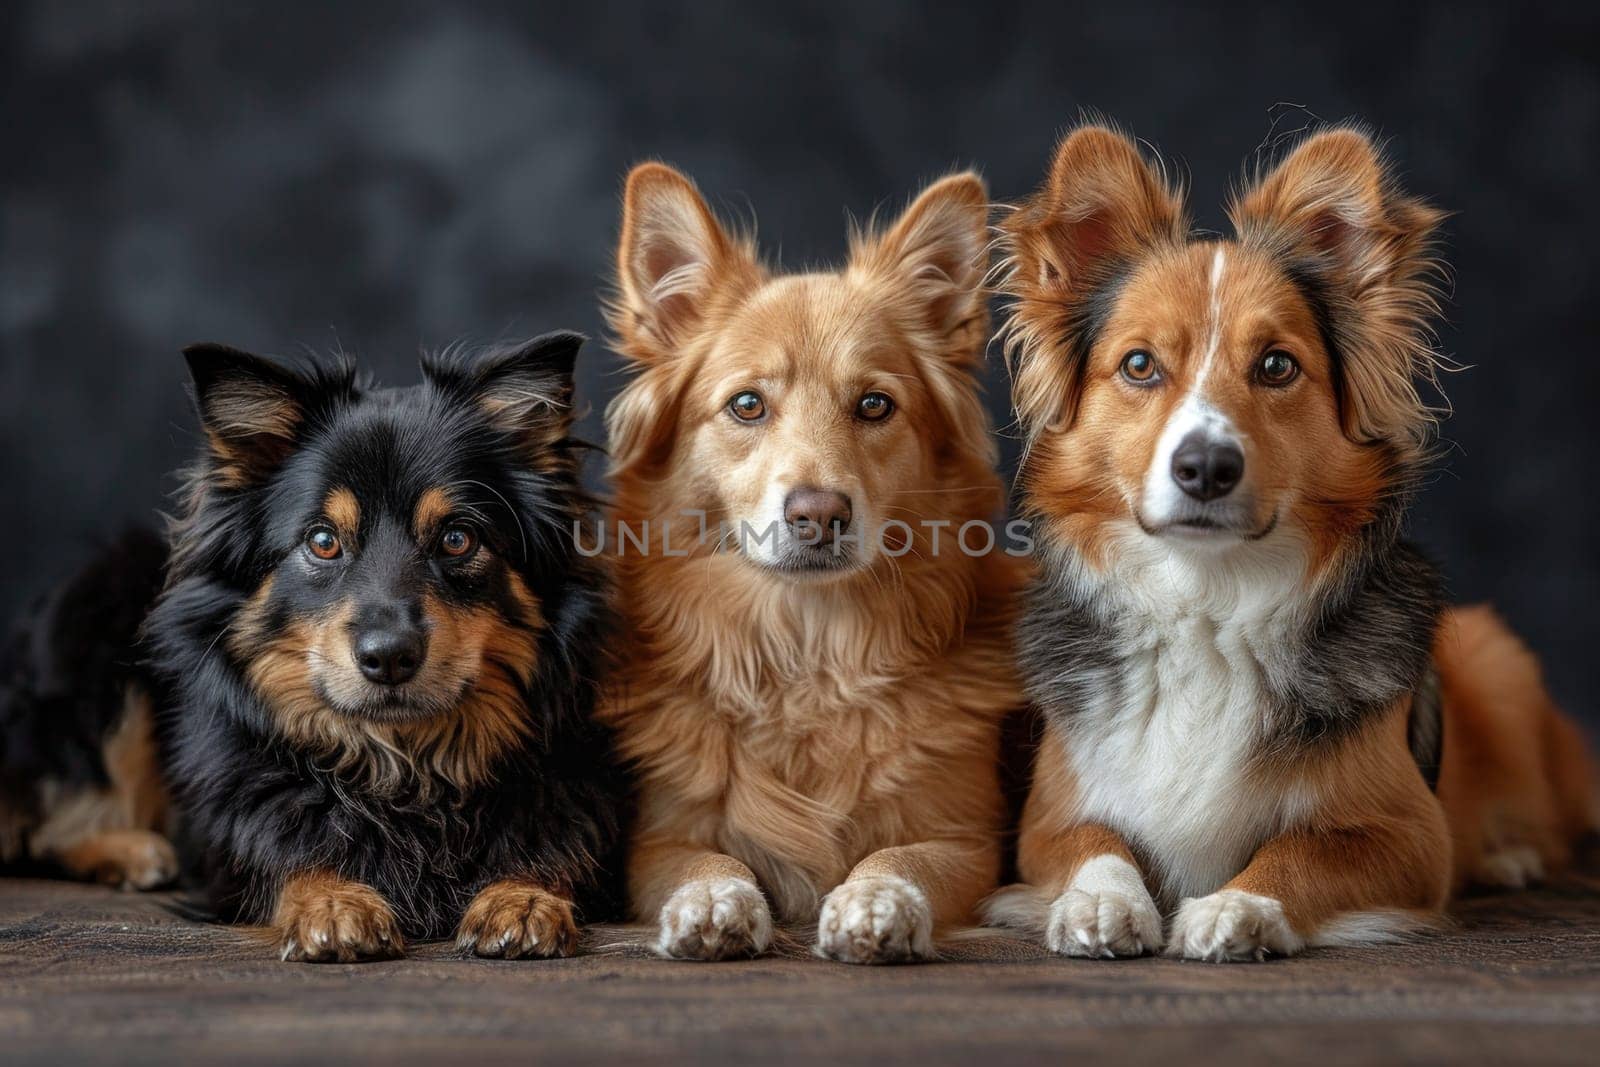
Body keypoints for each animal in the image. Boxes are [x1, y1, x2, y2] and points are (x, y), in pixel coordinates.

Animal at [0, 337, 624, 966]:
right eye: (323, 541)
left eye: (457, 539)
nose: (389, 657)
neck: (402, 762)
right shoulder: (240, 830)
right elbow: (286, 854)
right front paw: (330, 900)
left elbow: (557, 846)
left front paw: (524, 895)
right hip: (98, 612)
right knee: (44, 825)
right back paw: (135, 851)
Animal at [601, 163, 1024, 966]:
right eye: (746, 405)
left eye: (875, 405)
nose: (819, 513)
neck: (808, 654)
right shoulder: (655, 841)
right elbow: (708, 861)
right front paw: (714, 900)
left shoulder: (965, 840)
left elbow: (899, 857)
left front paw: (877, 900)